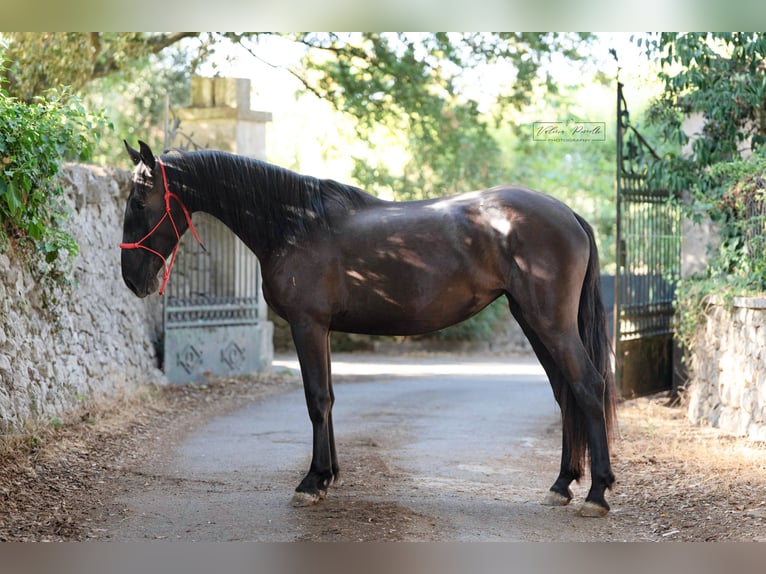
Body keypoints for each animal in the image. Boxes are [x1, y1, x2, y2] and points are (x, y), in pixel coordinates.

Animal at [120, 140, 617, 517]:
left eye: (139, 201)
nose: (132, 279)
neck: (295, 222)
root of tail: (568, 214)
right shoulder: (321, 330)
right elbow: (328, 398)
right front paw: (329, 476)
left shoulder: (307, 325)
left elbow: (316, 399)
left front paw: (312, 481)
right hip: (531, 320)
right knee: (566, 393)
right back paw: (561, 485)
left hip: (550, 324)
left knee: (588, 386)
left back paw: (596, 494)